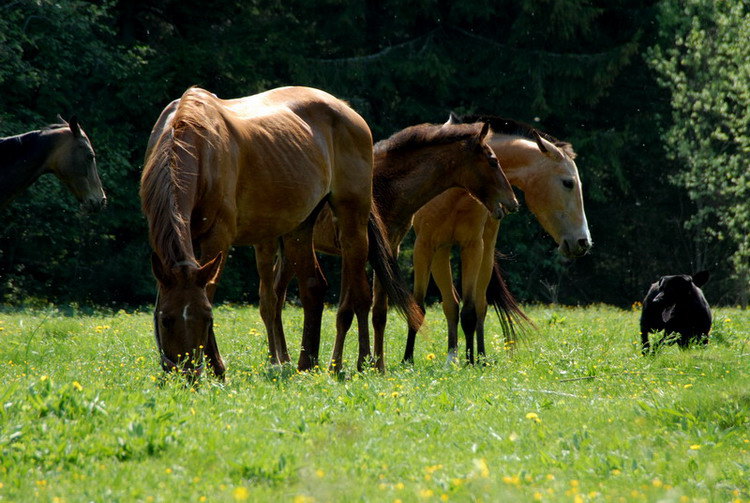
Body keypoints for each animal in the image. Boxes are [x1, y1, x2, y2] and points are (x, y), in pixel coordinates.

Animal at [138, 86, 418, 376]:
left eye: (208, 318)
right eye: (166, 319)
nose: (188, 374)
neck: (194, 143)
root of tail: (346, 110)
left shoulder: (218, 238)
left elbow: (210, 289)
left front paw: (217, 367)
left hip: (352, 219)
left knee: (361, 295)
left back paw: (363, 363)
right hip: (300, 228)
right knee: (312, 287)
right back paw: (307, 362)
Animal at [274, 122, 520, 372]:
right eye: (492, 161)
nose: (512, 202)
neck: (385, 185)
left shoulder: (389, 249)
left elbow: (378, 312)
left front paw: (378, 366)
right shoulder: (352, 249)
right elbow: (346, 309)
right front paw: (337, 365)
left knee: (276, 294)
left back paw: (282, 358)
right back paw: (278, 359)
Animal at [406, 113, 592, 364]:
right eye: (568, 183)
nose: (583, 242)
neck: (455, 186)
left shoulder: (473, 247)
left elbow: (471, 311)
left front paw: (472, 361)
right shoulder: (424, 245)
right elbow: (419, 306)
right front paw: (407, 360)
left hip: (483, 252)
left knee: (478, 306)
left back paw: (479, 356)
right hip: (440, 252)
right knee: (450, 305)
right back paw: (451, 357)